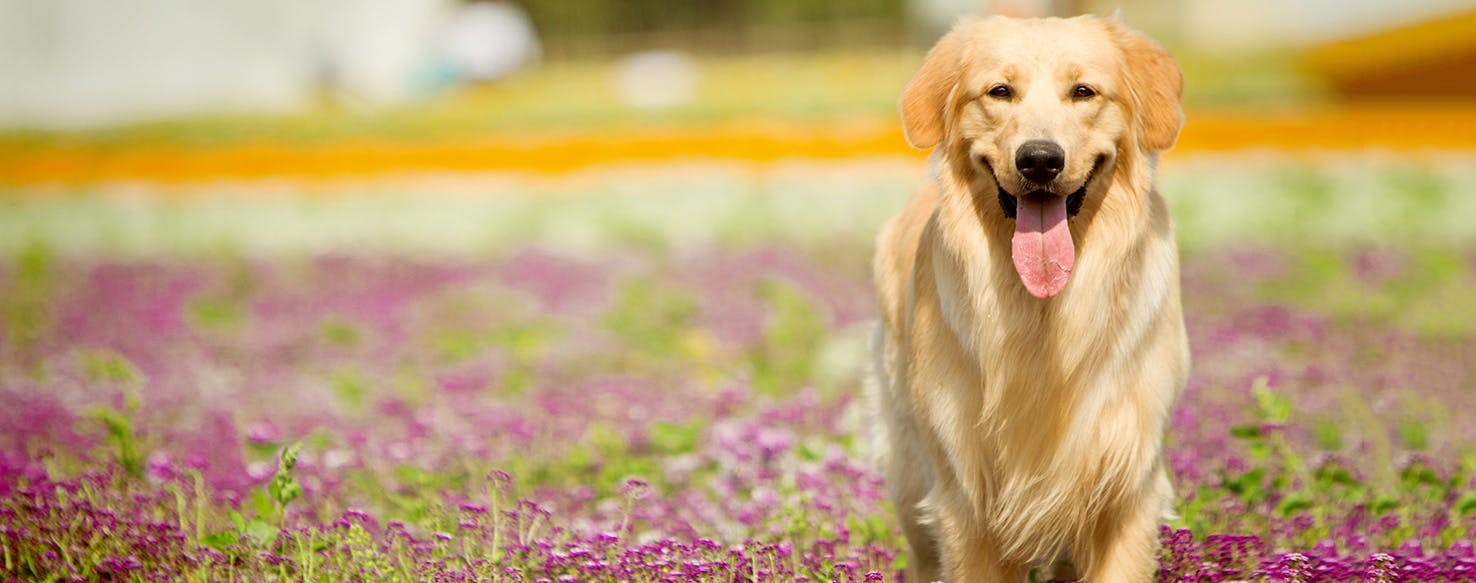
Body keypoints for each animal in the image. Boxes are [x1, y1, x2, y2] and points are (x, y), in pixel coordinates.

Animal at [867, 14, 1192, 583]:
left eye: (1083, 92)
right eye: (1000, 91)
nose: (1040, 160)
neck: (1045, 313)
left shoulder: (1126, 484)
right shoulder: (966, 496)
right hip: (910, 472)